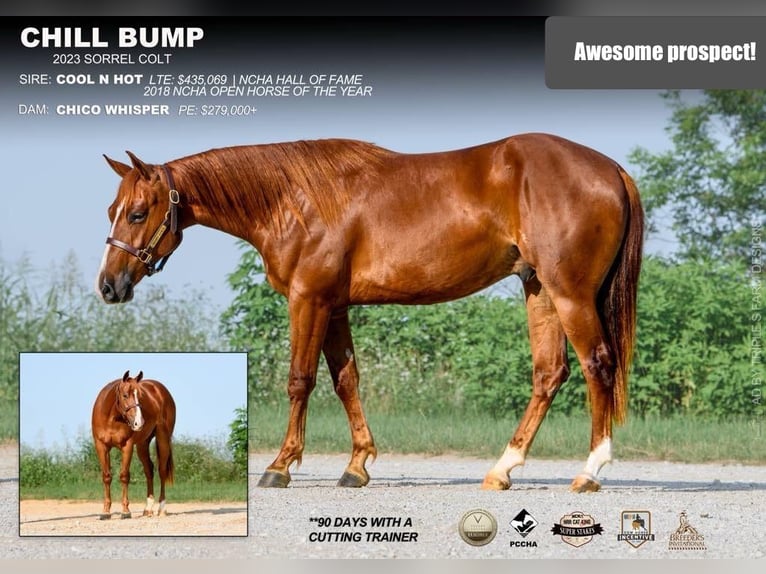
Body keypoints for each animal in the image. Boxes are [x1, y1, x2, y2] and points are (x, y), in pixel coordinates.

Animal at [91, 370, 176, 518]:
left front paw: (125, 511)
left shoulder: (127, 446)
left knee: (161, 471)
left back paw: (162, 509)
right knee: (149, 470)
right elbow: (106, 476)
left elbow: (124, 476)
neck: (112, 419)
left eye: (140, 397)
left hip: (163, 439)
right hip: (142, 444)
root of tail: (161, 390)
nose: (139, 423)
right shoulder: (101, 446)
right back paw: (148, 509)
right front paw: (106, 512)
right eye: (125, 395)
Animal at [96, 133, 643, 492]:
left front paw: (281, 465)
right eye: (112, 211)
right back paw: (502, 469)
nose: (108, 286)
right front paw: (357, 466)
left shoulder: (309, 300)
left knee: (597, 364)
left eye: (138, 213)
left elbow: (300, 380)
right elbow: (346, 381)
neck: (293, 200)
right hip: (539, 290)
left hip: (570, 294)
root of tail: (610, 168)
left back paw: (589, 472)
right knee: (549, 374)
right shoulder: (335, 307)